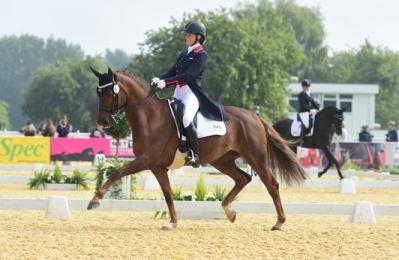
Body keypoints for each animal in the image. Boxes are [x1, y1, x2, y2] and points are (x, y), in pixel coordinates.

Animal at [88, 67, 306, 232]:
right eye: (98, 92)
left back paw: (279, 222)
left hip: (256, 158)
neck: (150, 117)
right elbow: (168, 194)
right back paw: (229, 211)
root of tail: (255, 116)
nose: (103, 122)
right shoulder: (157, 167)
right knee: (243, 178)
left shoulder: (145, 160)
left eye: (110, 93)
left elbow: (117, 172)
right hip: (222, 160)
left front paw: (95, 200)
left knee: (272, 185)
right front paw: (173, 223)